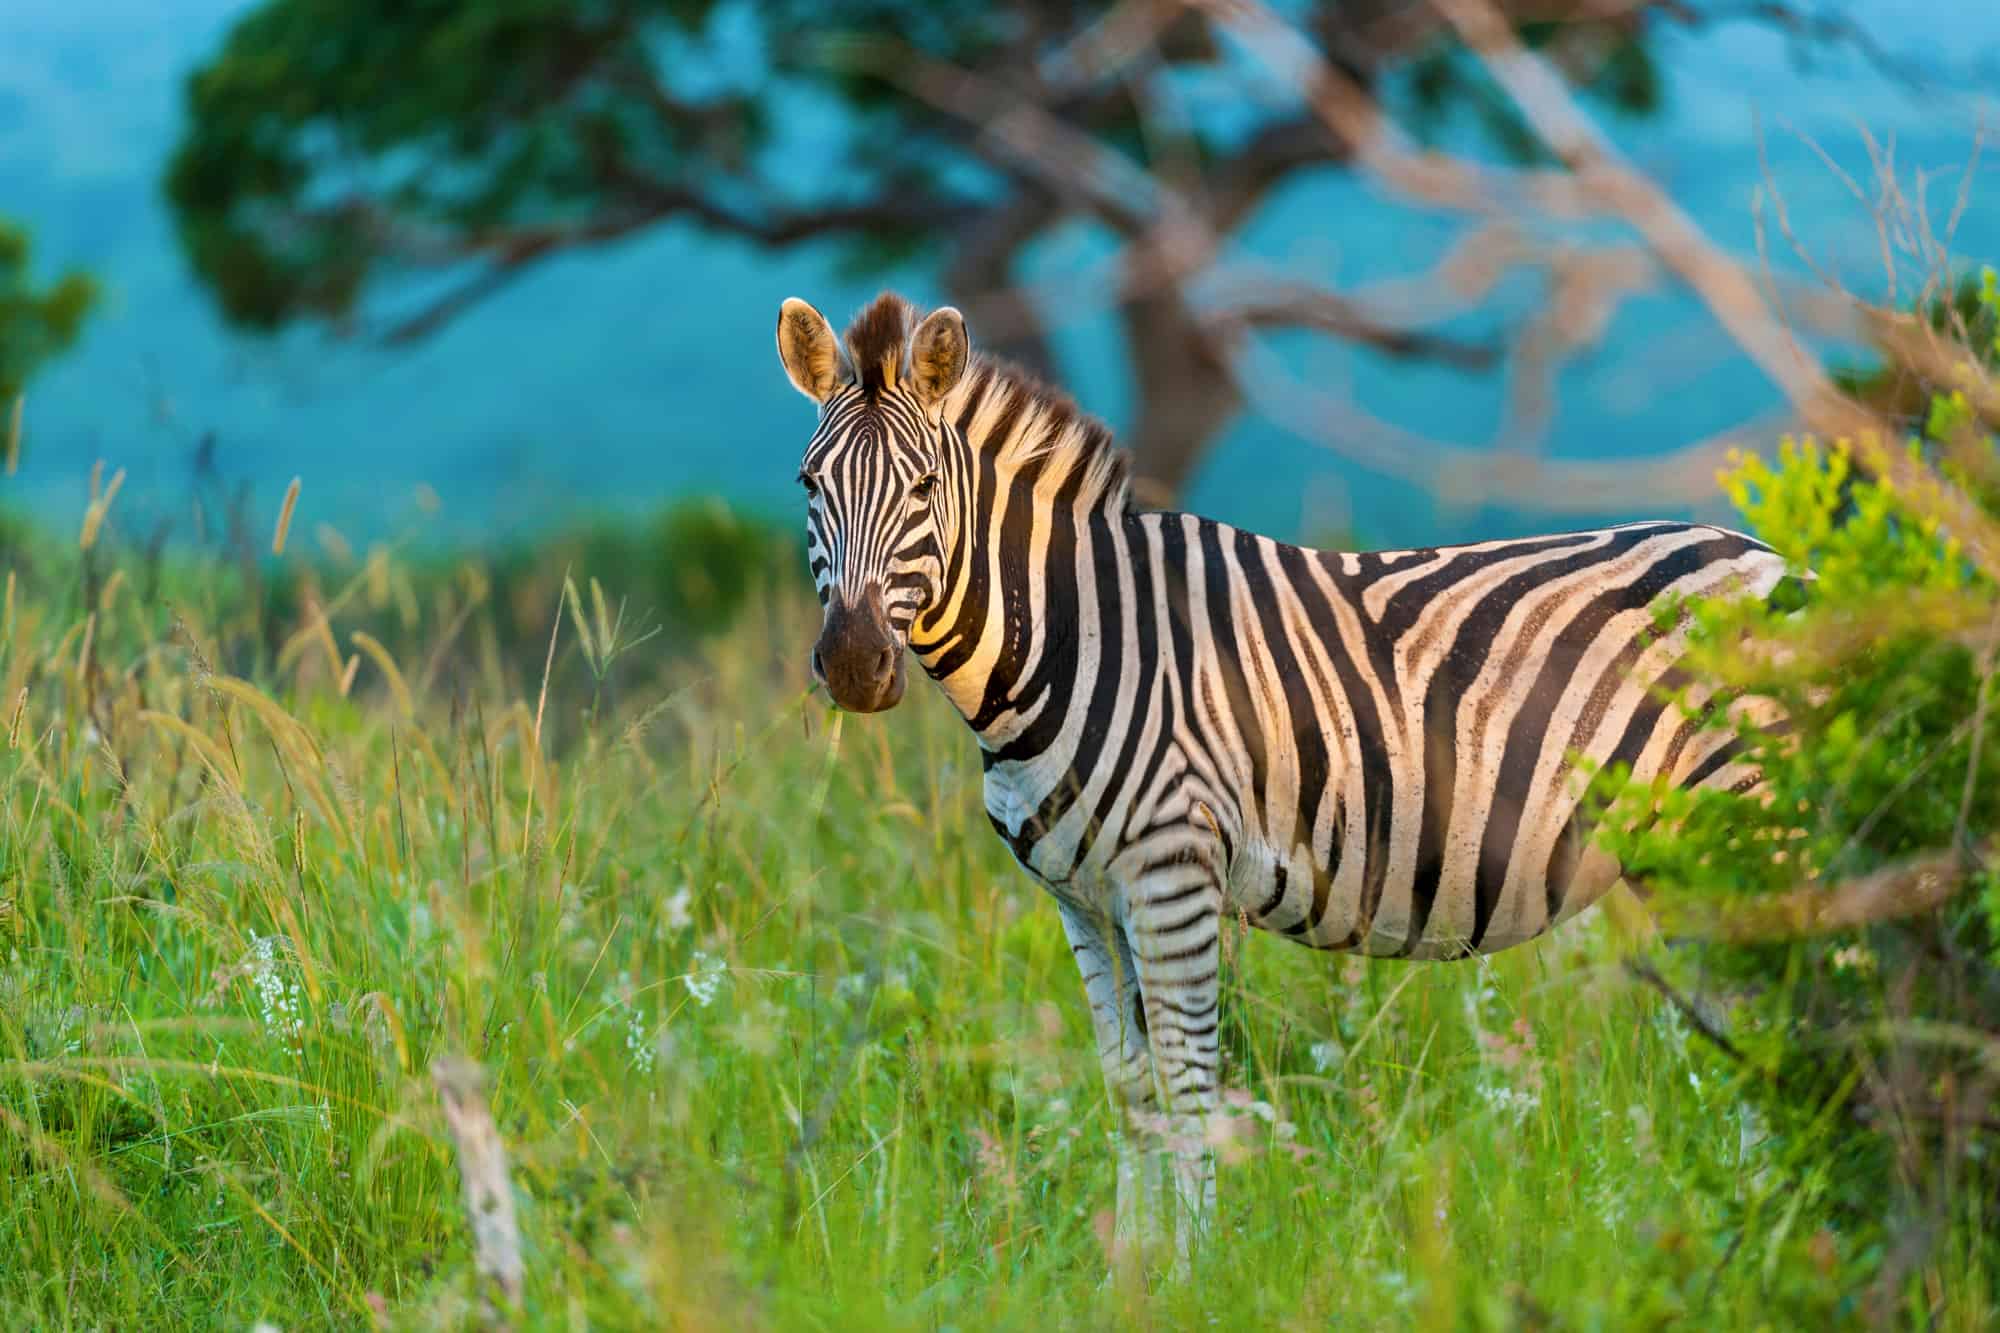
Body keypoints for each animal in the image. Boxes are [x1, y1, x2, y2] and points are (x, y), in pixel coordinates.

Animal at [772, 290, 1792, 1264]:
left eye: (923, 487)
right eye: (809, 483)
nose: (856, 663)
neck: (1072, 635)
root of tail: (1778, 556)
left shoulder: (1173, 873)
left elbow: (1189, 1086)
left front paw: (1196, 1274)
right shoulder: (1084, 897)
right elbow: (1131, 1087)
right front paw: (1131, 1272)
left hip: (1759, 832)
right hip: (1690, 864)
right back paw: (1751, 1229)